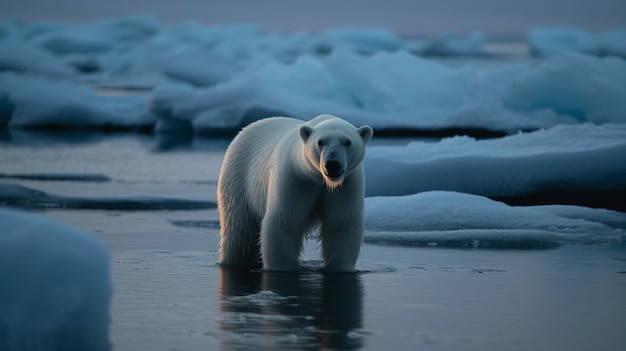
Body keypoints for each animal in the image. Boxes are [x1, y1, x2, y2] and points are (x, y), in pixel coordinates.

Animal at [217, 115, 370, 272]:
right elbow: (285, 221)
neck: (318, 179)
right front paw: (283, 267)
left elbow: (341, 223)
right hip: (238, 179)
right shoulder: (294, 179)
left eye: (347, 142)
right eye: (320, 142)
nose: (332, 165)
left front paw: (339, 267)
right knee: (239, 231)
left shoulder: (347, 185)